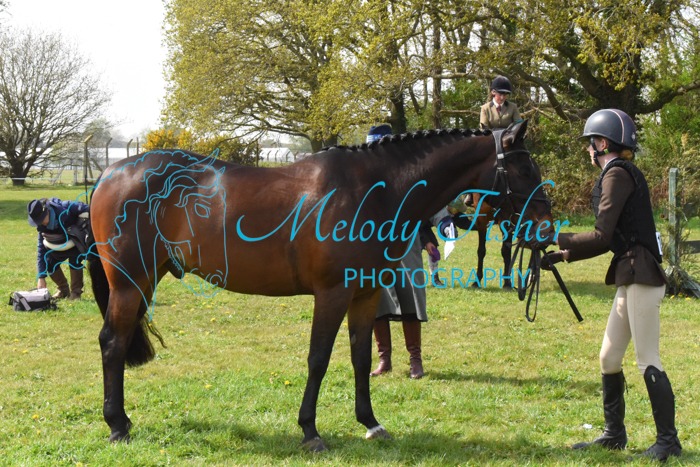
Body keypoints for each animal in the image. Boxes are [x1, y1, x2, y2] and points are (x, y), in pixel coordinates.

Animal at [87, 120, 554, 452]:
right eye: (524, 168)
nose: (546, 231)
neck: (371, 191)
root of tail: (111, 172)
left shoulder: (366, 294)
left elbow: (361, 358)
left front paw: (371, 423)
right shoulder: (332, 294)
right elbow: (318, 359)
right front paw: (310, 431)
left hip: (148, 279)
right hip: (129, 283)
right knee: (112, 342)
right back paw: (117, 426)